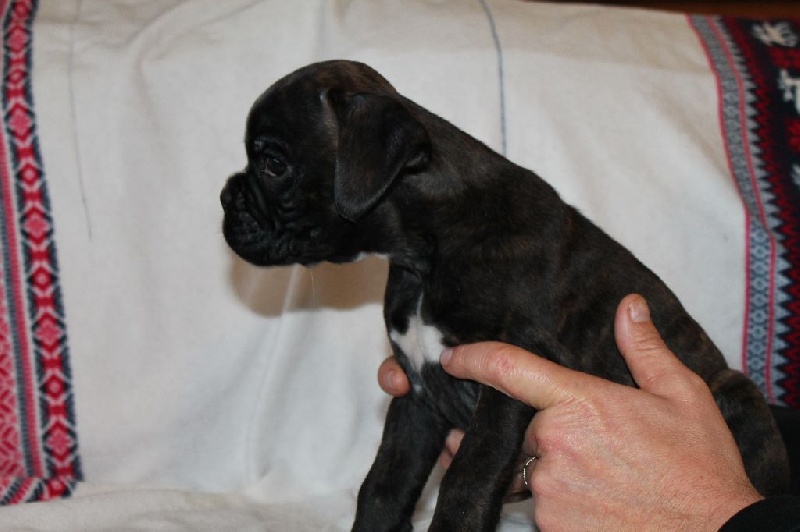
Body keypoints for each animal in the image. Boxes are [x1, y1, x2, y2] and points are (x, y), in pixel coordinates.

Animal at [221, 60, 790, 531]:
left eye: (273, 164)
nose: (225, 196)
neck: (425, 252)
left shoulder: (505, 384)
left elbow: (466, 482)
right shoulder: (417, 398)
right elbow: (384, 485)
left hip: (735, 394)